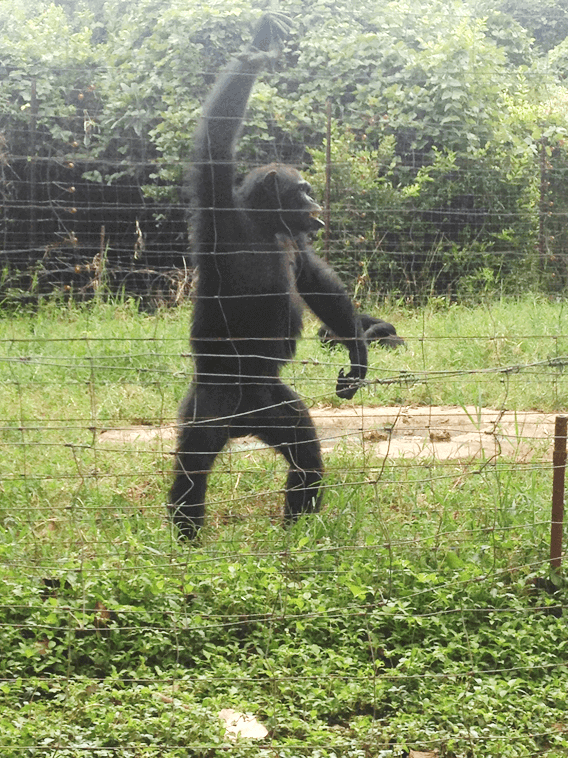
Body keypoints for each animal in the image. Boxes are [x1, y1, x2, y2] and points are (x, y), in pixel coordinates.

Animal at [166, 16, 366, 540]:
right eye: (303, 188)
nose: (315, 202)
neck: (263, 223)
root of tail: (242, 425)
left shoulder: (297, 239)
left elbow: (315, 280)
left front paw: (358, 354)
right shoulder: (216, 205)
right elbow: (216, 141)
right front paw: (257, 48)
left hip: (275, 405)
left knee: (305, 456)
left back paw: (296, 528)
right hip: (210, 404)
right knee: (192, 472)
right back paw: (184, 541)